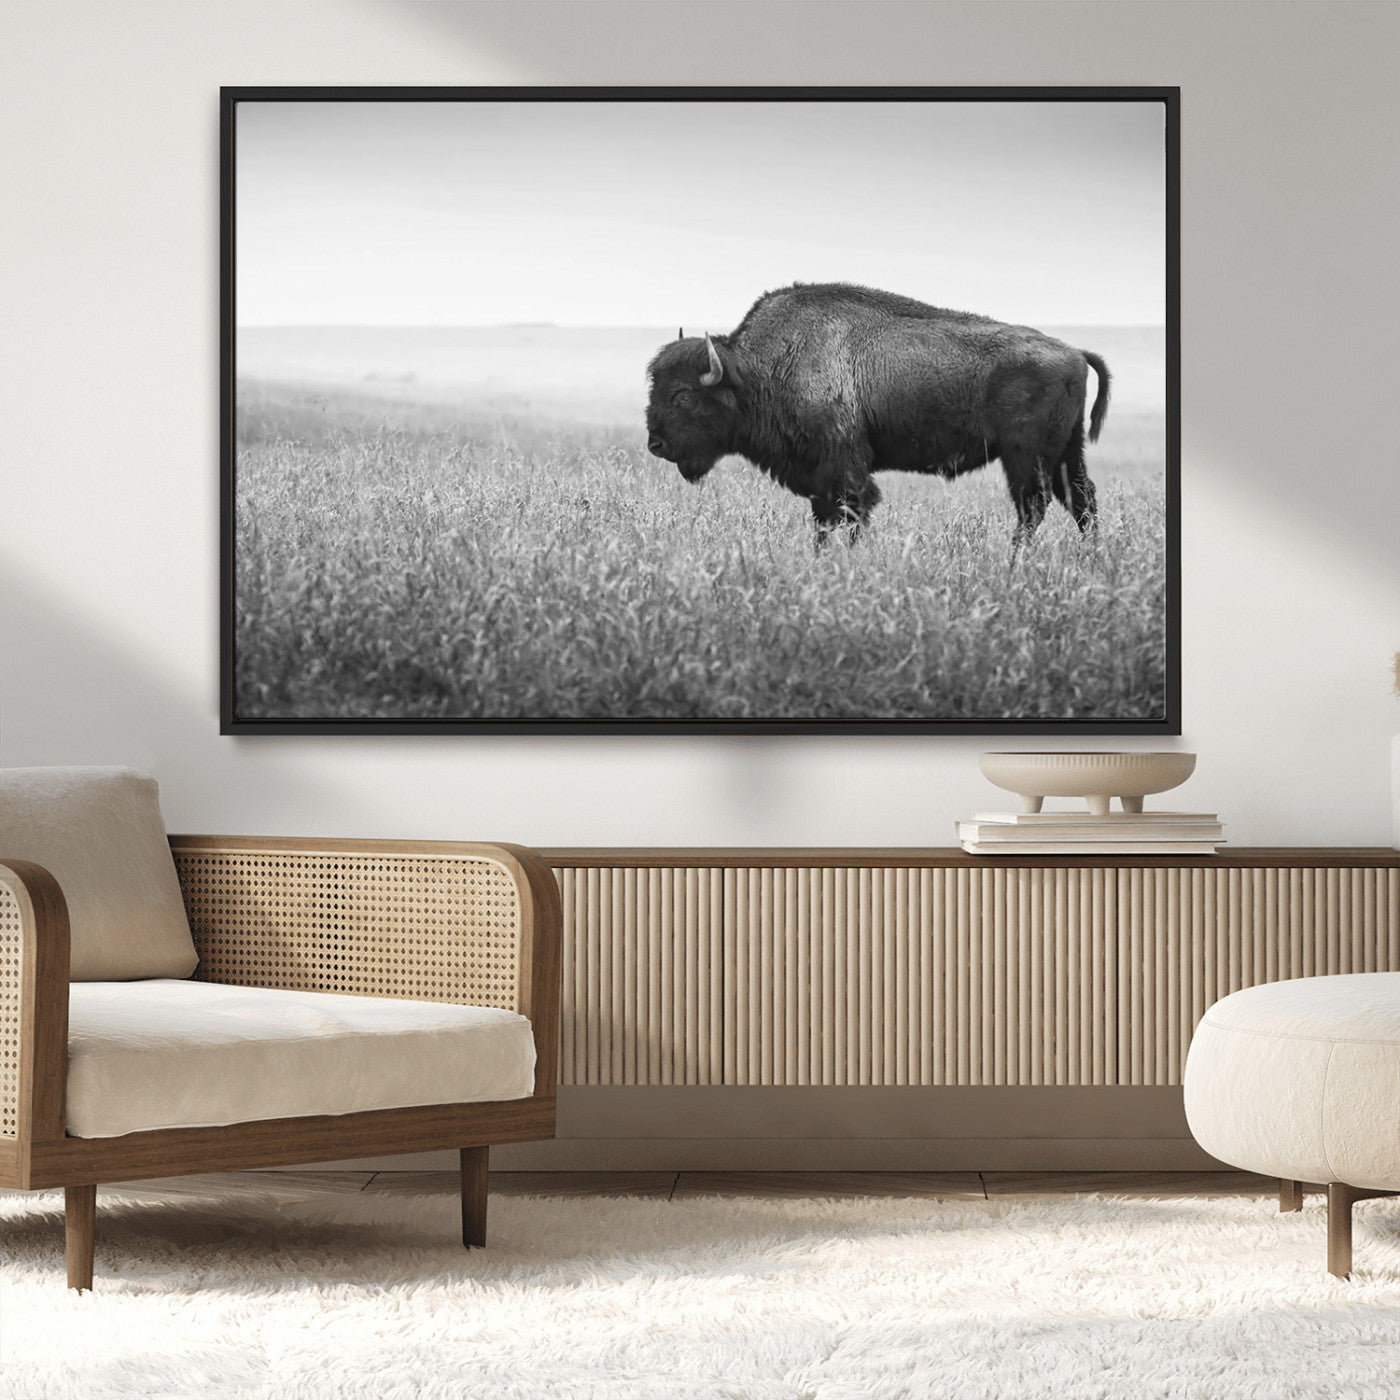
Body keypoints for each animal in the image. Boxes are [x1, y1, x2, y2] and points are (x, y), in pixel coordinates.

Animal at [646, 282, 1110, 547]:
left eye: (684, 396)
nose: (655, 444)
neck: (759, 370)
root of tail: (1074, 352)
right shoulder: (820, 480)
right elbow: (824, 522)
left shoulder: (845, 470)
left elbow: (852, 514)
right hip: (1067, 453)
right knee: (1082, 502)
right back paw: (1090, 559)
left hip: (1026, 457)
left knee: (1034, 507)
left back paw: (1015, 561)